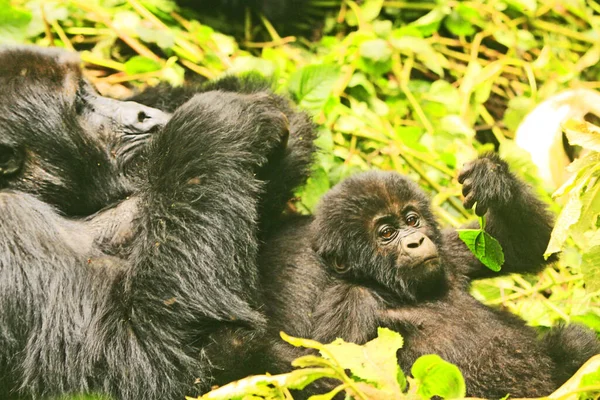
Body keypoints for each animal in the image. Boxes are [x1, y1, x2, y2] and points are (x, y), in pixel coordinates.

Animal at [0, 45, 316, 398]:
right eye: (80, 104)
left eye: (90, 88)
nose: (141, 114)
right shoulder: (12, 228)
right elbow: (144, 357)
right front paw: (215, 126)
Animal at [258, 153, 600, 396]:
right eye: (386, 233)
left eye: (412, 220)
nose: (416, 241)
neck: (389, 289)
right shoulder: (348, 305)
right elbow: (339, 377)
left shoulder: (448, 251)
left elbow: (524, 246)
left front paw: (491, 178)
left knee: (575, 341)